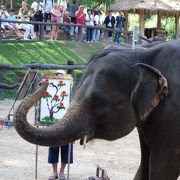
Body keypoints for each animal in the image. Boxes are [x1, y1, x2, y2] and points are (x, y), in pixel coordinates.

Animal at [14, 39, 180, 180]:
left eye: (97, 101)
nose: (42, 82)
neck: (142, 52)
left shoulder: (173, 115)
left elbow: (161, 168)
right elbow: (144, 165)